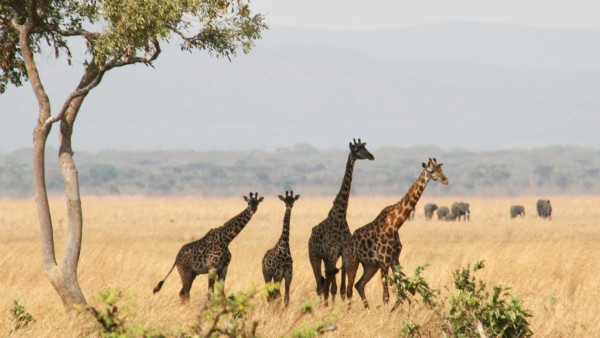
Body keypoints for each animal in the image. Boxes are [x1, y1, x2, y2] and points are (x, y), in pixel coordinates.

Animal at [310, 139, 376, 304]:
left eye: (365, 148)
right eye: (356, 150)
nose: (371, 156)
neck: (340, 216)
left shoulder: (344, 253)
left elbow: (343, 289)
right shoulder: (333, 254)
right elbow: (334, 288)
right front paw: (334, 307)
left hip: (325, 258)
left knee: (325, 284)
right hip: (314, 256)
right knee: (320, 285)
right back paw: (323, 305)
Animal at [344, 158, 448, 308]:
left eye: (441, 169)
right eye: (431, 170)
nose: (445, 180)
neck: (395, 224)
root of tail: (346, 245)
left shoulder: (394, 258)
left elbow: (401, 293)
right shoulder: (384, 259)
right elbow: (386, 296)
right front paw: (387, 312)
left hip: (370, 266)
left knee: (359, 285)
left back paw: (368, 308)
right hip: (352, 261)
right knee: (349, 289)